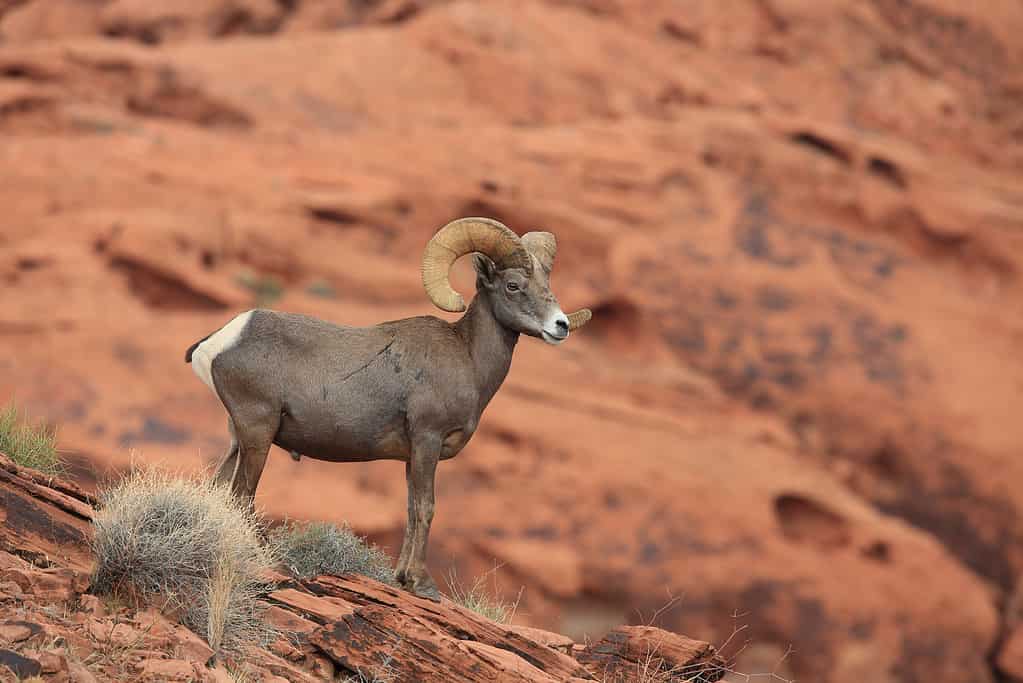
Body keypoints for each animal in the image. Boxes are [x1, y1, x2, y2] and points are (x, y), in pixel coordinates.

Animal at [184, 218, 593, 597]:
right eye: (513, 285)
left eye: (547, 285)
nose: (560, 326)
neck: (467, 357)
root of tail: (219, 340)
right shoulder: (428, 439)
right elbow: (427, 507)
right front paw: (422, 583)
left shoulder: (413, 456)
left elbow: (411, 510)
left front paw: (401, 578)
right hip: (258, 432)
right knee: (241, 495)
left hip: (239, 437)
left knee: (221, 488)